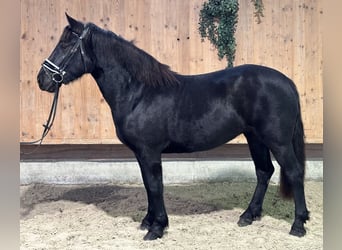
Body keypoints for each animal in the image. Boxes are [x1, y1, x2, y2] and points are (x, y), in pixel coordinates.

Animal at [38, 14, 310, 241]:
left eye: (66, 45)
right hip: (255, 138)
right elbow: (148, 185)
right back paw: (248, 216)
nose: (42, 79)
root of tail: (287, 81)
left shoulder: (149, 151)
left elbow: (155, 185)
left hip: (277, 141)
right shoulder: (141, 153)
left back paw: (298, 225)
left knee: (294, 172)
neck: (139, 92)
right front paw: (148, 221)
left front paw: (157, 227)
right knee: (264, 171)